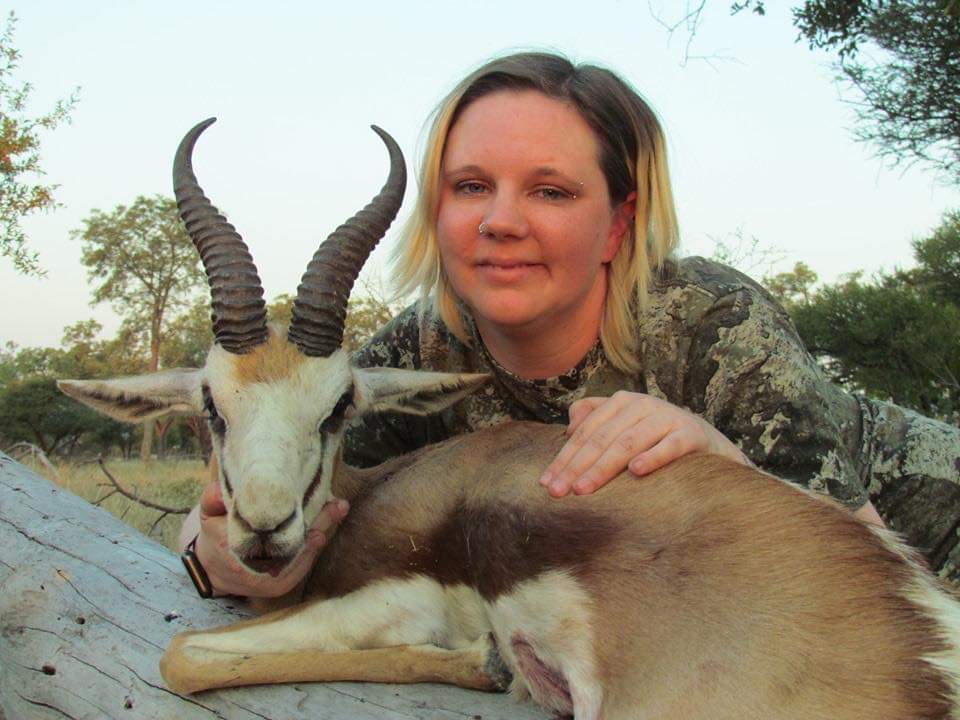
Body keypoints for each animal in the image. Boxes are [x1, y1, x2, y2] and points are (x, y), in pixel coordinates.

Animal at [59, 118, 960, 720]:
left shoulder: (389, 601)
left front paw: (484, 663)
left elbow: (184, 655)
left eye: (340, 406)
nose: (263, 529)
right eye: (212, 406)